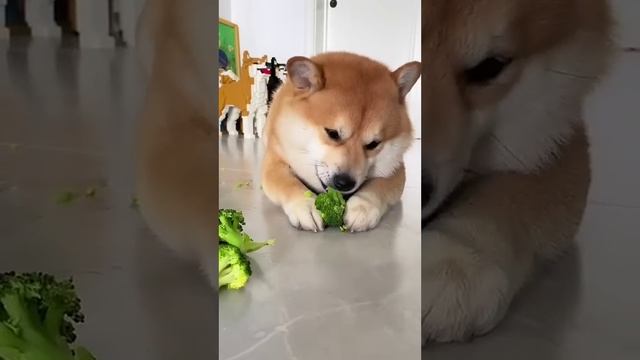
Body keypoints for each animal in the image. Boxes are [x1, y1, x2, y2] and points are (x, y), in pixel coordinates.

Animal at [260, 53, 420, 233]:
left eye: (373, 144)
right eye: (333, 133)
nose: (344, 183)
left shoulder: (396, 170)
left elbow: (379, 186)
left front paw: (363, 207)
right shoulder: (274, 161)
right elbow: (287, 183)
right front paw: (305, 205)